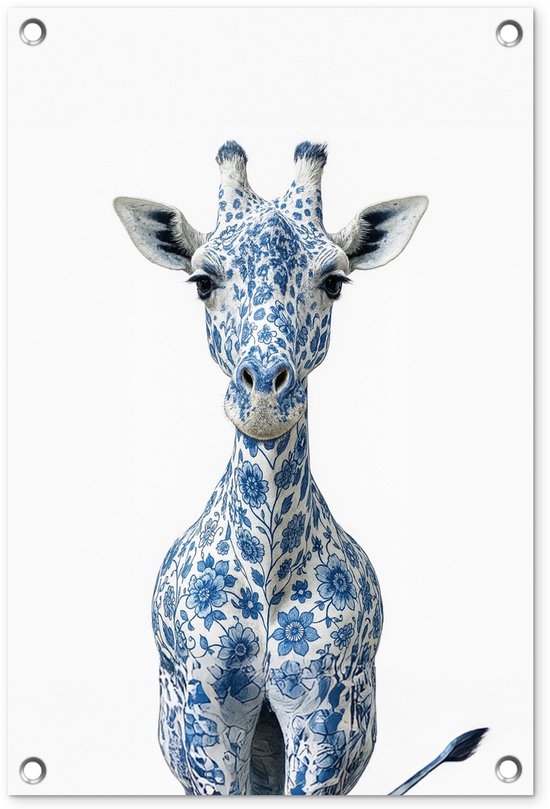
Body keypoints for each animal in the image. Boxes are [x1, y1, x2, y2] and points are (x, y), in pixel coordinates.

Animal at [114, 142, 484, 795]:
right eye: (202, 282)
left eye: (335, 282)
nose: (264, 395)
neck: (268, 569)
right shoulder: (208, 715)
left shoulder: (323, 714)